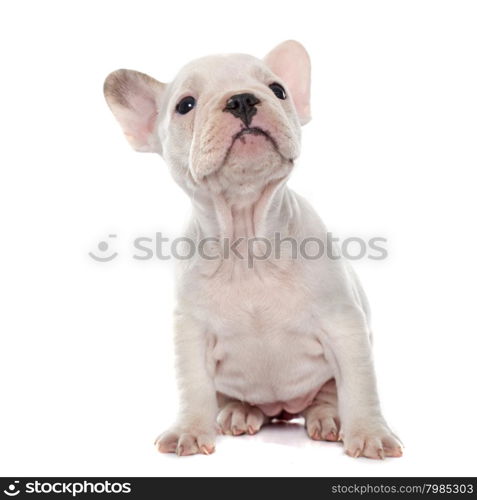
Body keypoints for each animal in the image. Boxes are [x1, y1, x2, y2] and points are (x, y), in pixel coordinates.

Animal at [103, 41, 402, 458]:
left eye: (278, 90)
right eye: (185, 105)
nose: (242, 99)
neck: (247, 242)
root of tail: (281, 410)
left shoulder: (345, 324)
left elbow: (360, 385)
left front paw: (372, 433)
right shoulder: (191, 332)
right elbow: (193, 386)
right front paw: (189, 430)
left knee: (328, 395)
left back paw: (328, 419)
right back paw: (240, 413)